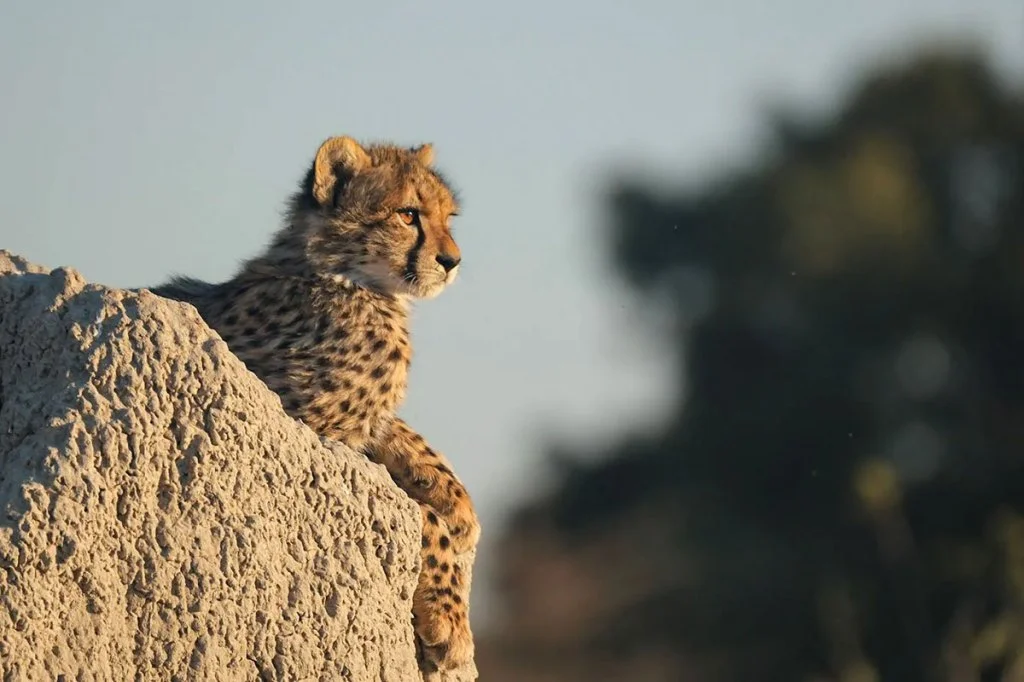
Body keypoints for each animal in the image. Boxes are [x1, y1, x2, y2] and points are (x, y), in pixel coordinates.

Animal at [149, 135, 480, 671]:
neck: (343, 277)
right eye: (408, 214)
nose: (452, 261)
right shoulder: (297, 419)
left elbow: (400, 428)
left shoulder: (346, 422)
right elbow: (421, 516)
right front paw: (449, 618)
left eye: (448, 217)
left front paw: (456, 501)